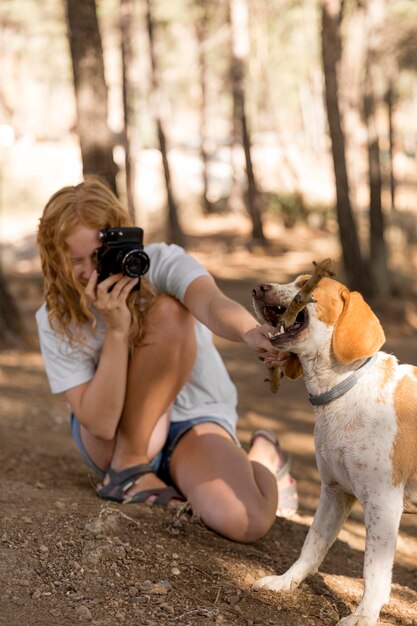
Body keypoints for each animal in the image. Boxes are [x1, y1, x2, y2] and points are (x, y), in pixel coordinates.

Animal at [250, 274, 416, 624]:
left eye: (305, 283)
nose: (257, 288)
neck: (346, 389)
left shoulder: (383, 505)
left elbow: (374, 571)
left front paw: (364, 616)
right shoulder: (334, 492)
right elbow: (312, 545)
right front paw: (285, 582)